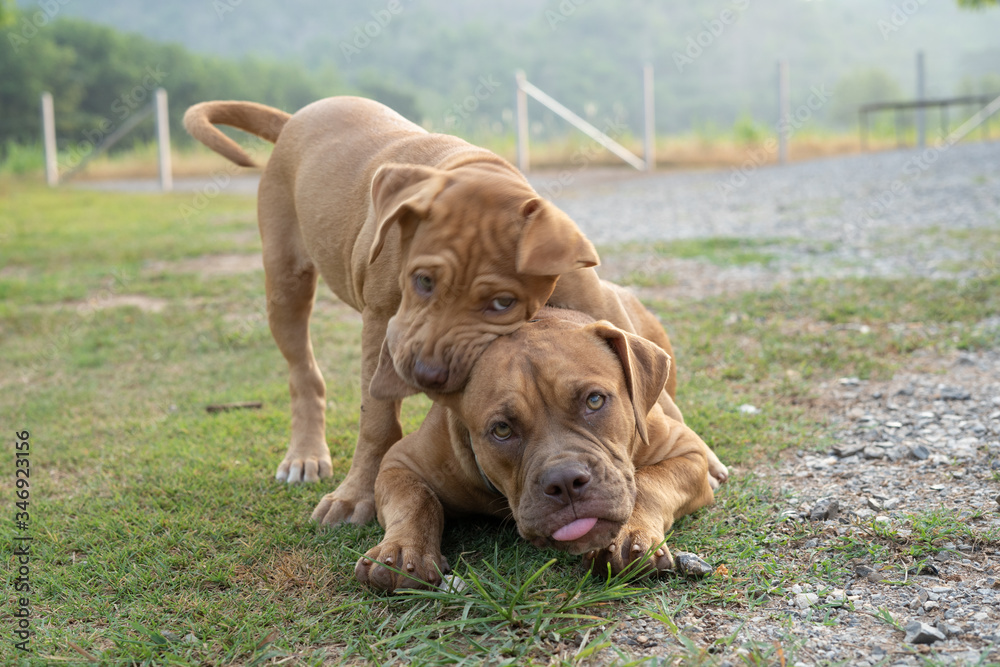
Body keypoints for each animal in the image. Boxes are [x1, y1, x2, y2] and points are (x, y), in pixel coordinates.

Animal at [356, 306, 716, 592]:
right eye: (502, 429)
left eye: (594, 400)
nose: (565, 482)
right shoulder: (400, 462)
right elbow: (417, 499)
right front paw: (401, 551)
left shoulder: (687, 451)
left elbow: (648, 484)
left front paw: (631, 534)